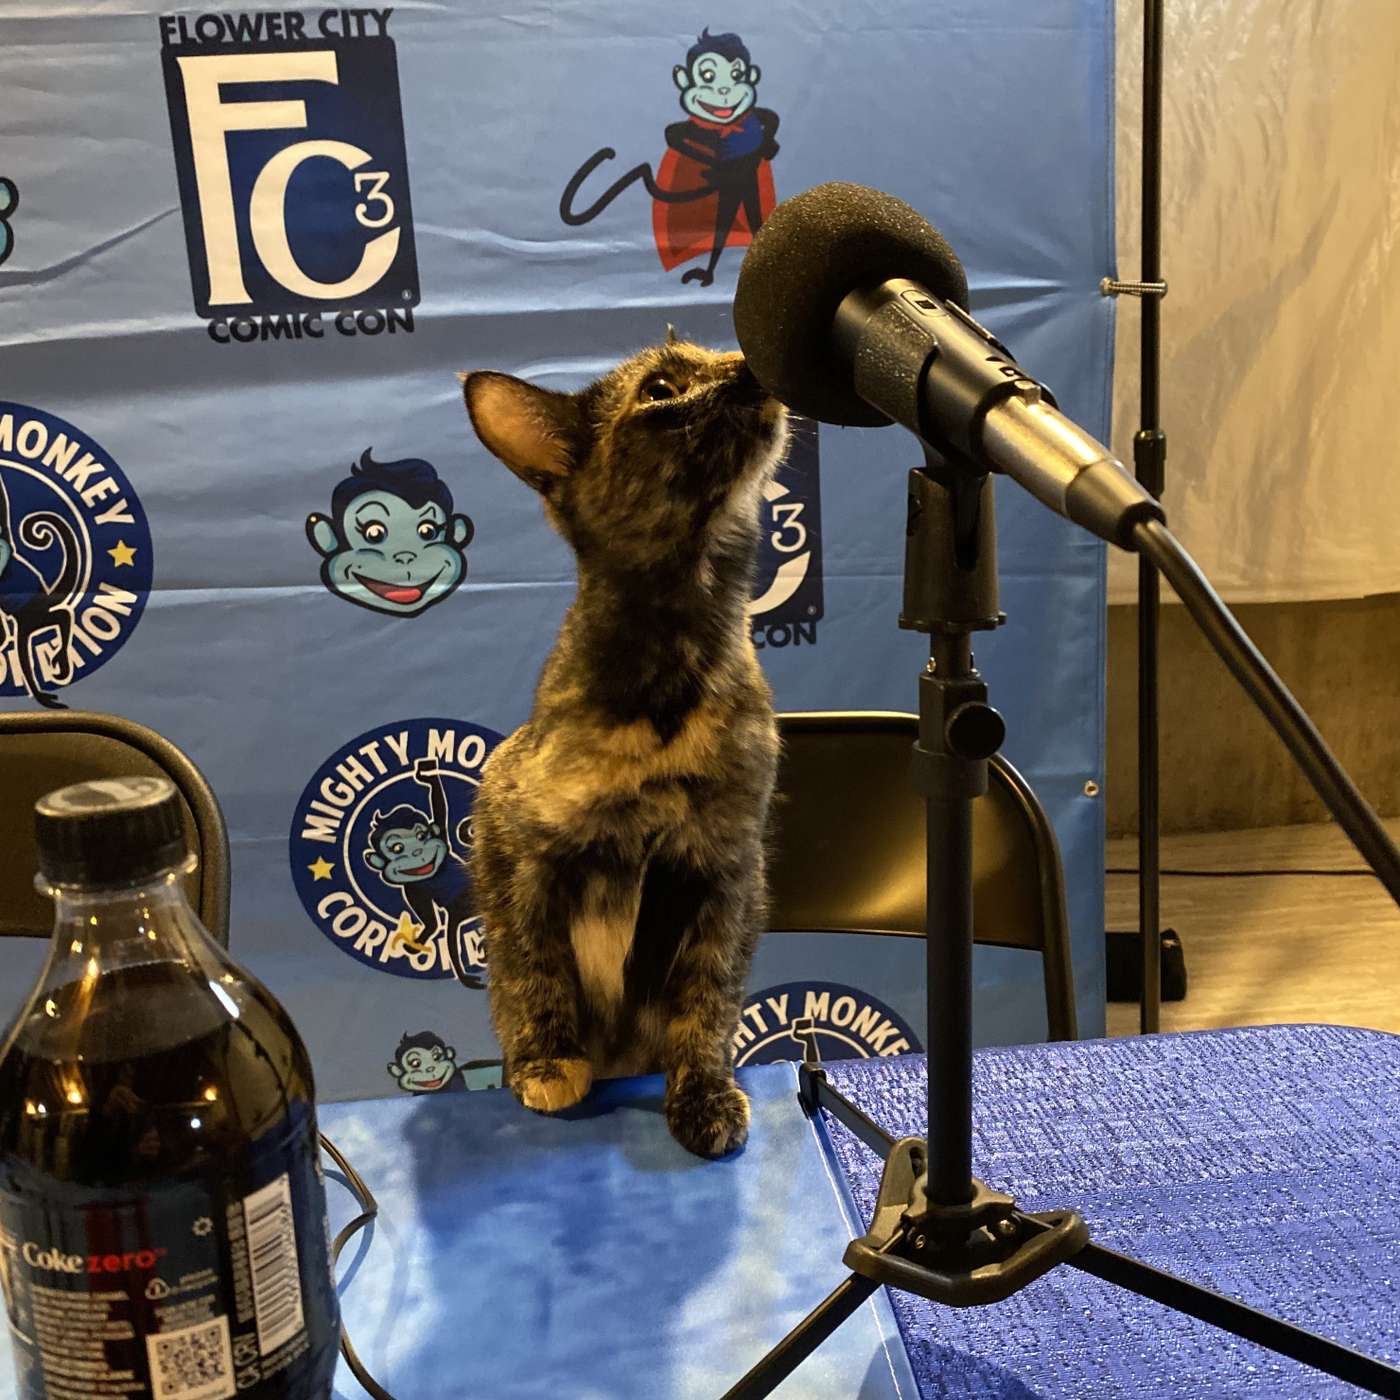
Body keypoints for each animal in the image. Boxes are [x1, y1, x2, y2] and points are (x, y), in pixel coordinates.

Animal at [460, 335, 787, 1158]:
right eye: (662, 388)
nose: (749, 364)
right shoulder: (523, 850)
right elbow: (533, 967)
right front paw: (548, 1062)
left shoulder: (725, 868)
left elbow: (706, 998)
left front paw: (702, 1094)